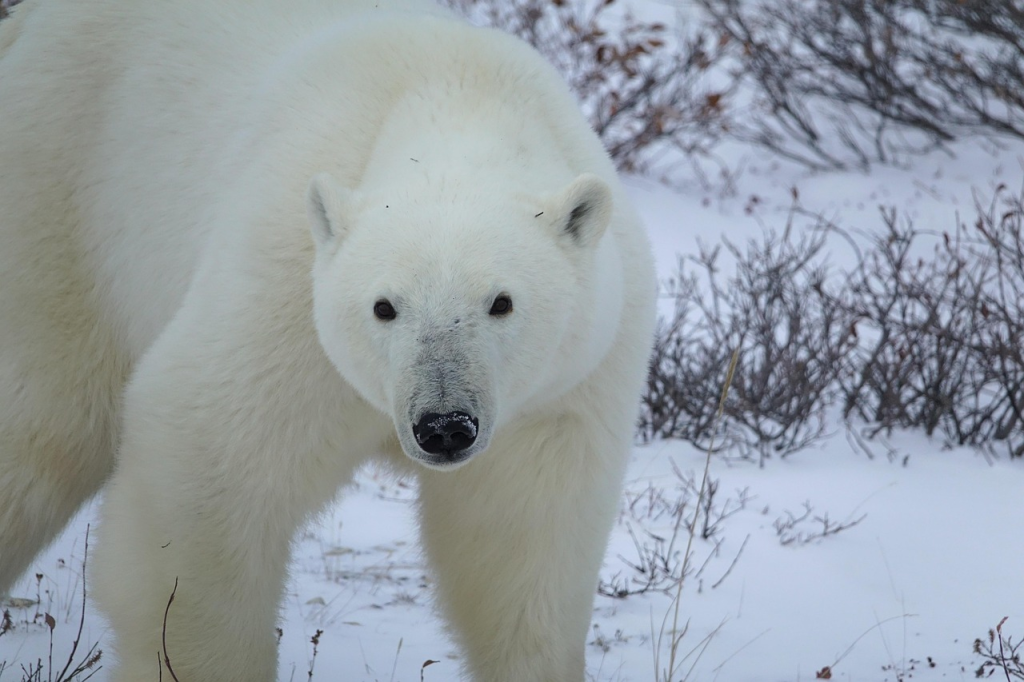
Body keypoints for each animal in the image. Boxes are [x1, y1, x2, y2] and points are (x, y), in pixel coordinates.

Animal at [0, 0, 657, 680]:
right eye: (384, 307)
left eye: (501, 302)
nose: (444, 425)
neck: (459, 95)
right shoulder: (284, 292)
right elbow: (207, 467)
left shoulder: (564, 388)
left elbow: (524, 544)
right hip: (61, 198)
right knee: (43, 430)